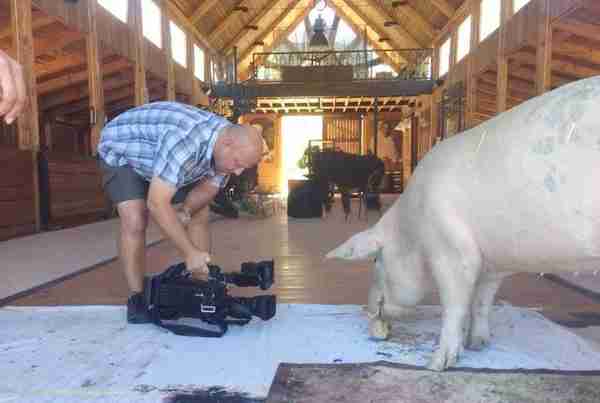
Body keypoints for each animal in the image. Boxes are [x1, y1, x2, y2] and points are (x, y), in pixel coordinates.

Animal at [326, 76, 600, 372]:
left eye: (376, 260)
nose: (367, 310)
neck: (412, 228)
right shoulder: (492, 263)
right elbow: (482, 301)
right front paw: (477, 345)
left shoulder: (453, 250)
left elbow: (455, 305)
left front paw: (436, 364)